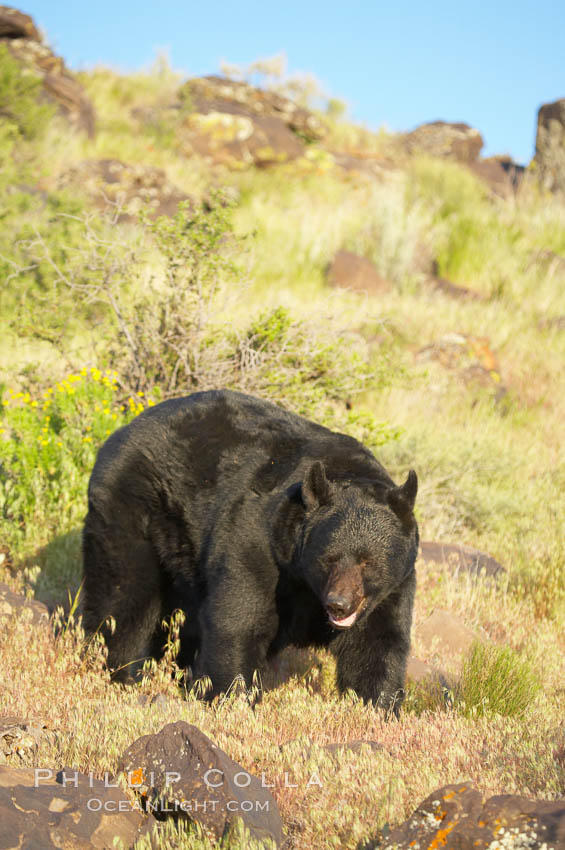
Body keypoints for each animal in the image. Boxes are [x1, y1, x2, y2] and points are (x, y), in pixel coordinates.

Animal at [83, 388, 418, 712]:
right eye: (328, 559)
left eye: (367, 562)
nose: (339, 605)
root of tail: (124, 427)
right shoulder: (258, 545)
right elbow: (239, 620)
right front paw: (235, 698)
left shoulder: (394, 585)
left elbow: (377, 642)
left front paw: (377, 706)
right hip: (134, 507)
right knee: (123, 594)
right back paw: (122, 671)